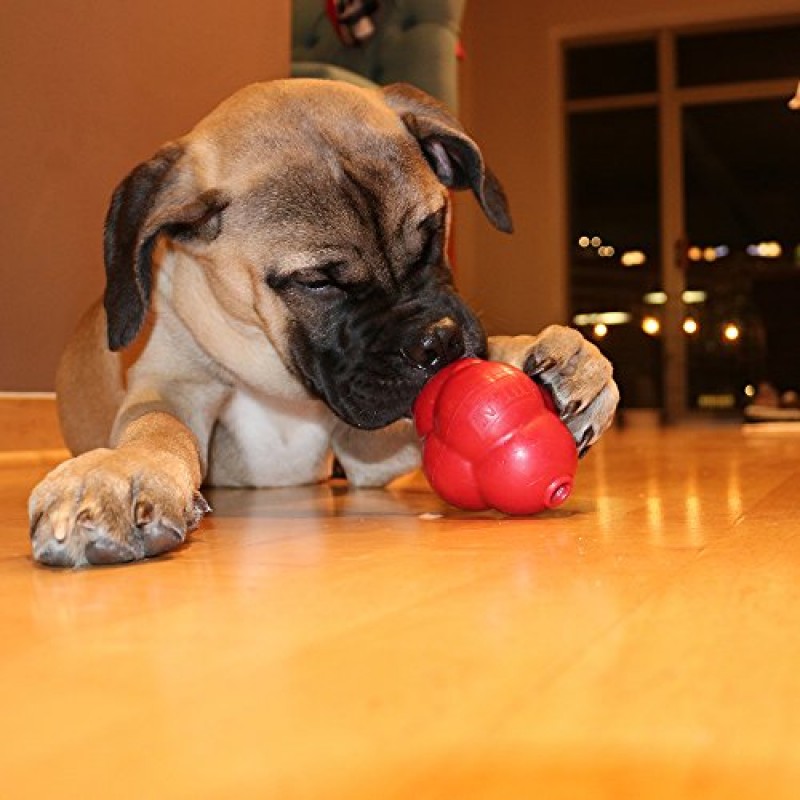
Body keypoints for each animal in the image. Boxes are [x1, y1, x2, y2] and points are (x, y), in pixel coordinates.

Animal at [26, 79, 620, 568]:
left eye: (434, 231)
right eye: (318, 282)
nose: (439, 344)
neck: (275, 377)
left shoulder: (363, 447)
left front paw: (555, 362)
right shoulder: (175, 386)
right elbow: (158, 427)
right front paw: (120, 473)